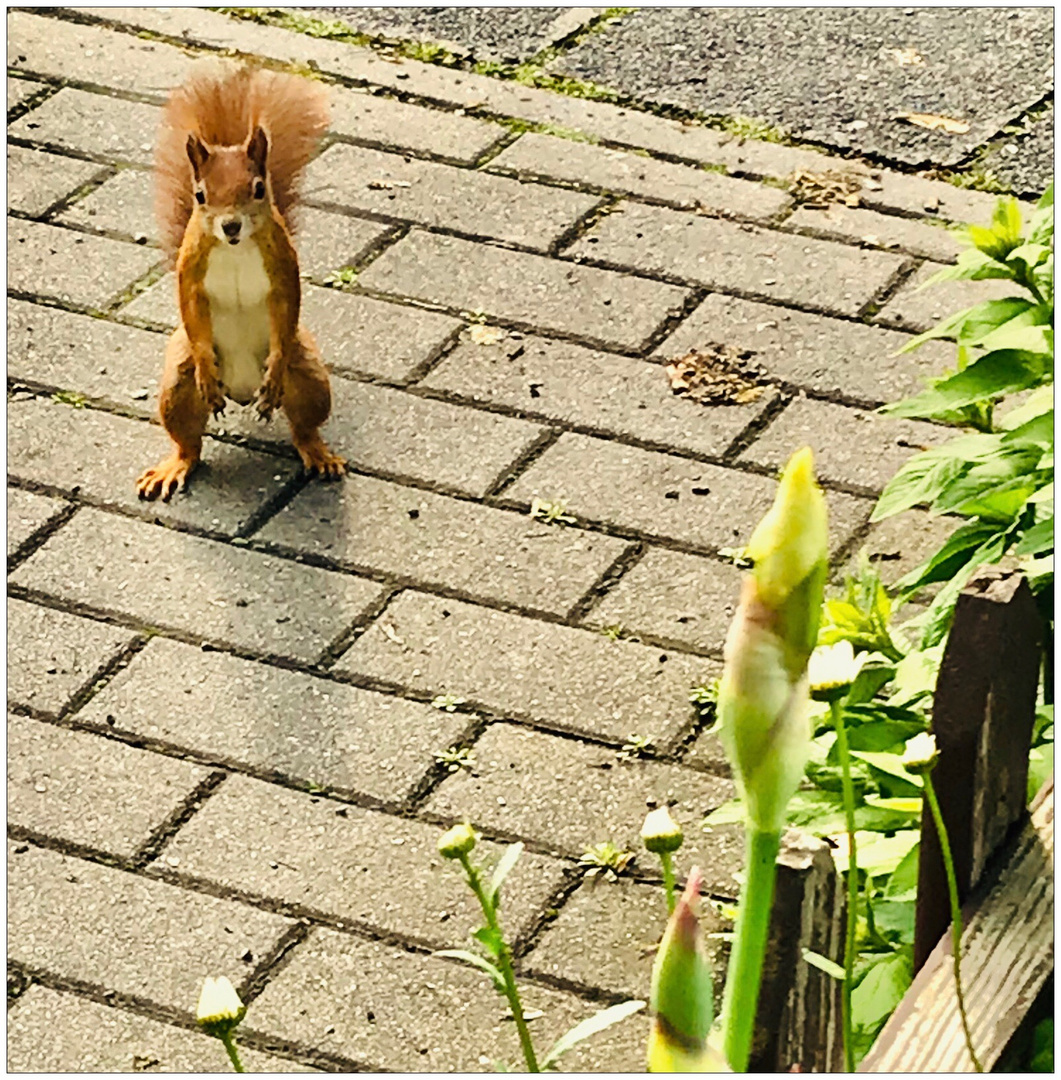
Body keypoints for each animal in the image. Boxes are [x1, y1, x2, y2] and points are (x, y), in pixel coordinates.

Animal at [137, 65, 345, 503]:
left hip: (309, 377)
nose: (230, 226)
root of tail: (242, 392)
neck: (234, 248)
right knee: (188, 442)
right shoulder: (190, 271)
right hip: (177, 387)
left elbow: (289, 303)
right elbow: (190, 305)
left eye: (259, 189)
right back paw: (174, 464)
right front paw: (206, 365)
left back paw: (316, 451)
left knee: (304, 426)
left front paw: (275, 366)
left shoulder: (283, 266)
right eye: (200, 195)